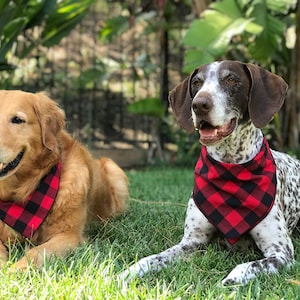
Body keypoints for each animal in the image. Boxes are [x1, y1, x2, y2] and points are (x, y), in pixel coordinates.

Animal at [119, 60, 300, 286]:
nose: (199, 105)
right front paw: (126, 272)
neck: (231, 167)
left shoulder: (282, 252)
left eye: (231, 79)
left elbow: (247, 267)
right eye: (196, 82)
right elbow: (152, 258)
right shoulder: (191, 242)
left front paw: (229, 280)